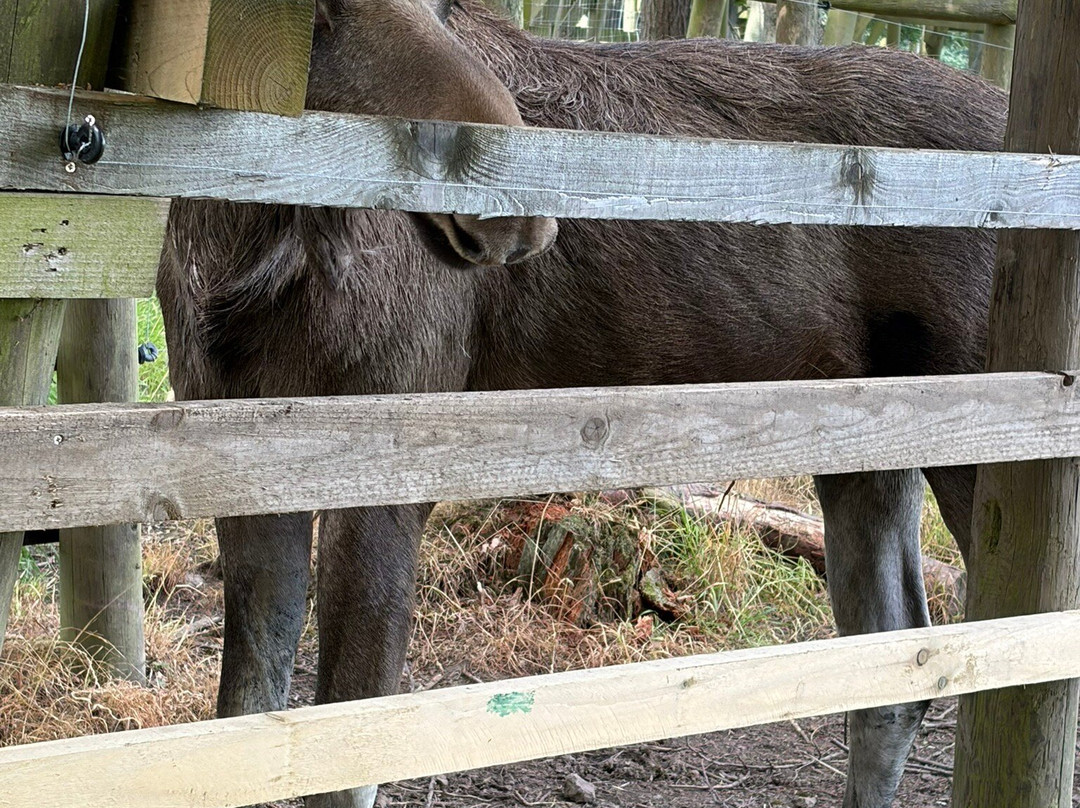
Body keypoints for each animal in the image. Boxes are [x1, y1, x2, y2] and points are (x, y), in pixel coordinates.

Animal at [157, 1, 1007, 806]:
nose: (522, 199)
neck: (234, 251)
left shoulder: (385, 473)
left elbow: (342, 766)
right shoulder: (239, 464)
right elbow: (240, 726)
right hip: (867, 449)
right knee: (898, 669)